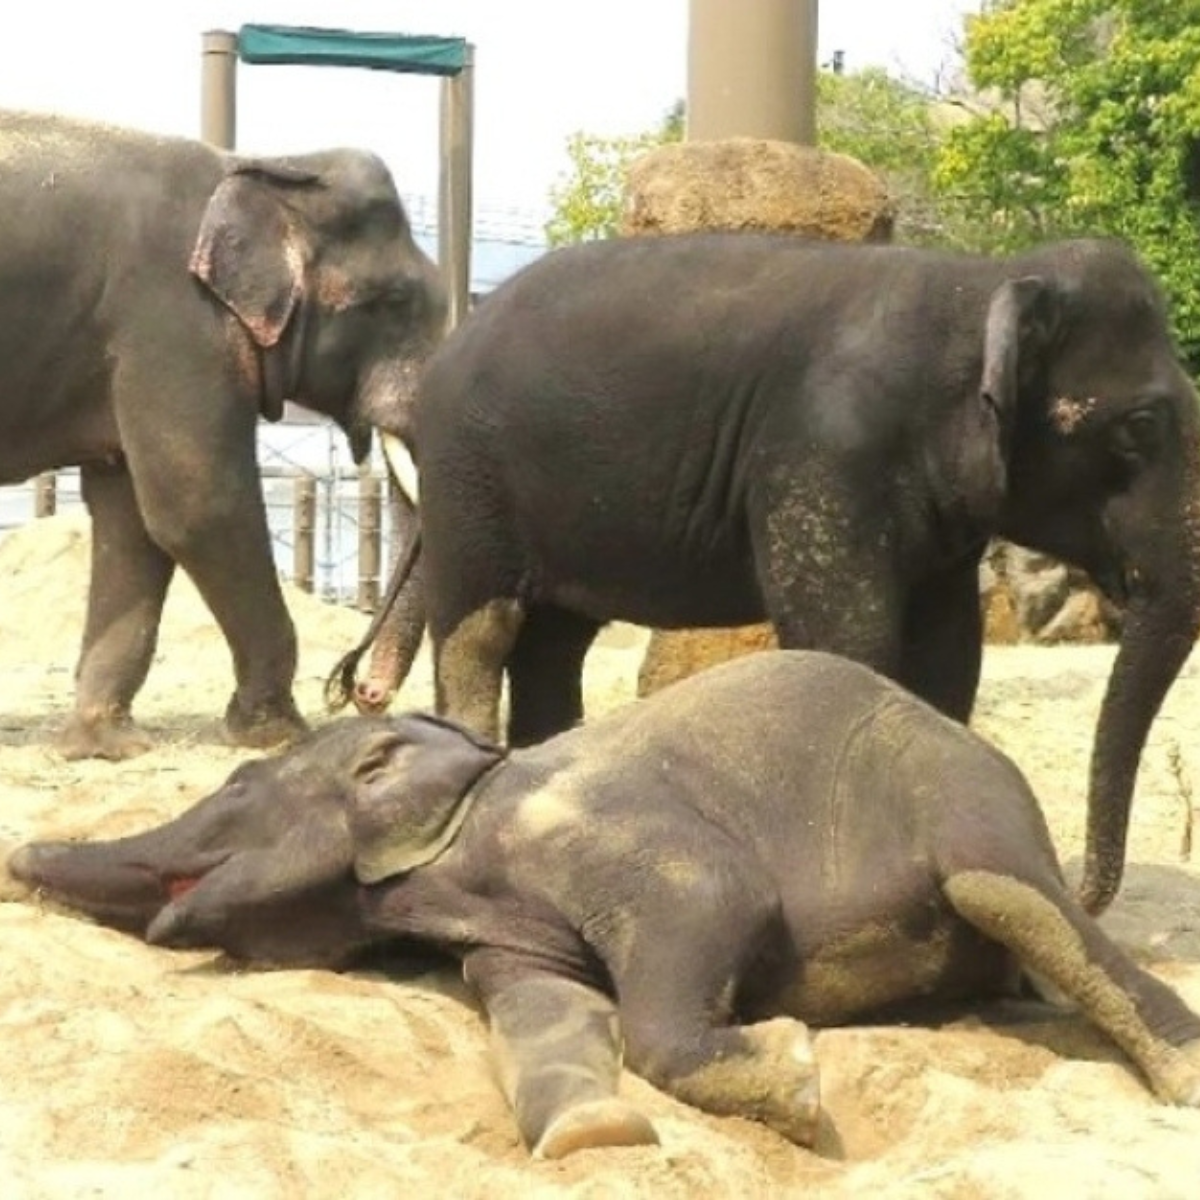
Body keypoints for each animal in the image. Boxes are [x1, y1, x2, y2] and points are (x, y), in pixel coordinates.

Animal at [0, 109, 443, 760]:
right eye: (395, 302)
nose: (362, 693)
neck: (267, 167)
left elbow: (132, 518)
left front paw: (106, 745)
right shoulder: (176, 317)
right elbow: (199, 503)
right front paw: (278, 734)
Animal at [11, 651, 1200, 1158]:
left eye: (234, 789)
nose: (17, 857)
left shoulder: (590, 825)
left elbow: (709, 899)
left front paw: (793, 1078)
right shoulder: (502, 932)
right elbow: (548, 1011)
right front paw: (594, 1136)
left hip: (962, 793)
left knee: (1008, 890)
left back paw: (1180, 1075)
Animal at [338, 231, 1200, 916]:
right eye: (1140, 426)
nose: (1077, 886)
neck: (980, 281)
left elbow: (947, 662)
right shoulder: (824, 458)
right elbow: (849, 642)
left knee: (555, 643)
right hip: (468, 479)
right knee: (483, 630)